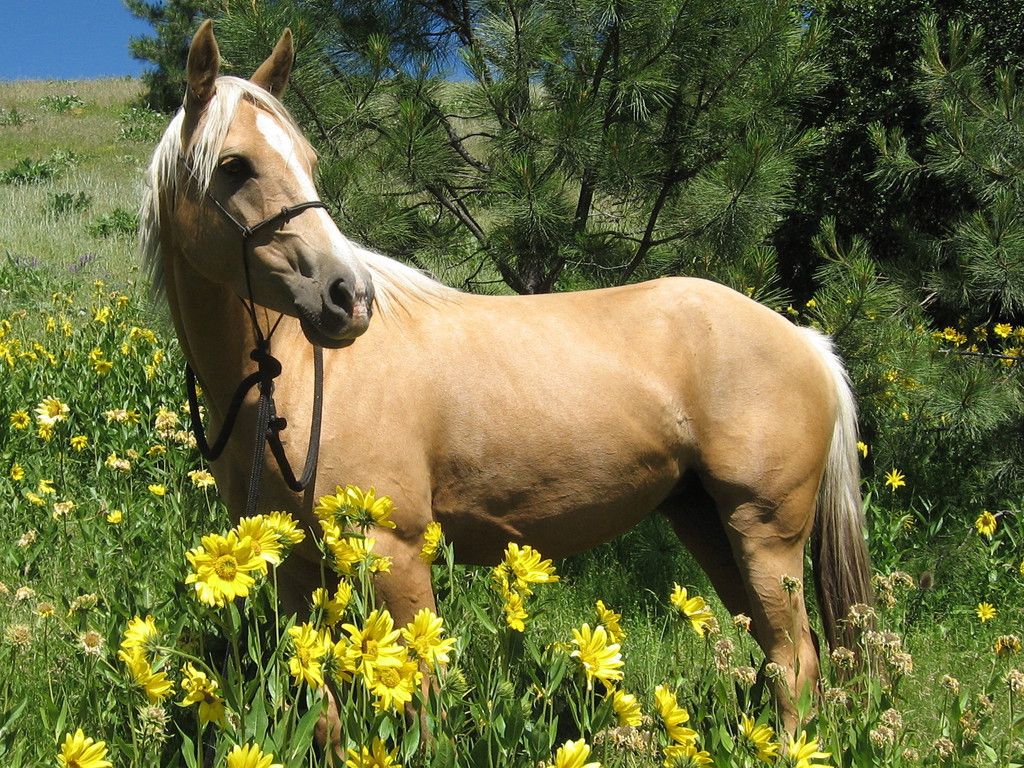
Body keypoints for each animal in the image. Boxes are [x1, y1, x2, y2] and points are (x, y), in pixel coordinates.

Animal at [141, 20, 871, 732]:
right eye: (234, 165)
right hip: (708, 523)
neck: (294, 380)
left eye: (308, 161)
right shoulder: (294, 568)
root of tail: (807, 342)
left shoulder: (396, 552)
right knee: (779, 657)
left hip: (764, 533)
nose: (348, 296)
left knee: (795, 662)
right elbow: (325, 718)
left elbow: (423, 704)